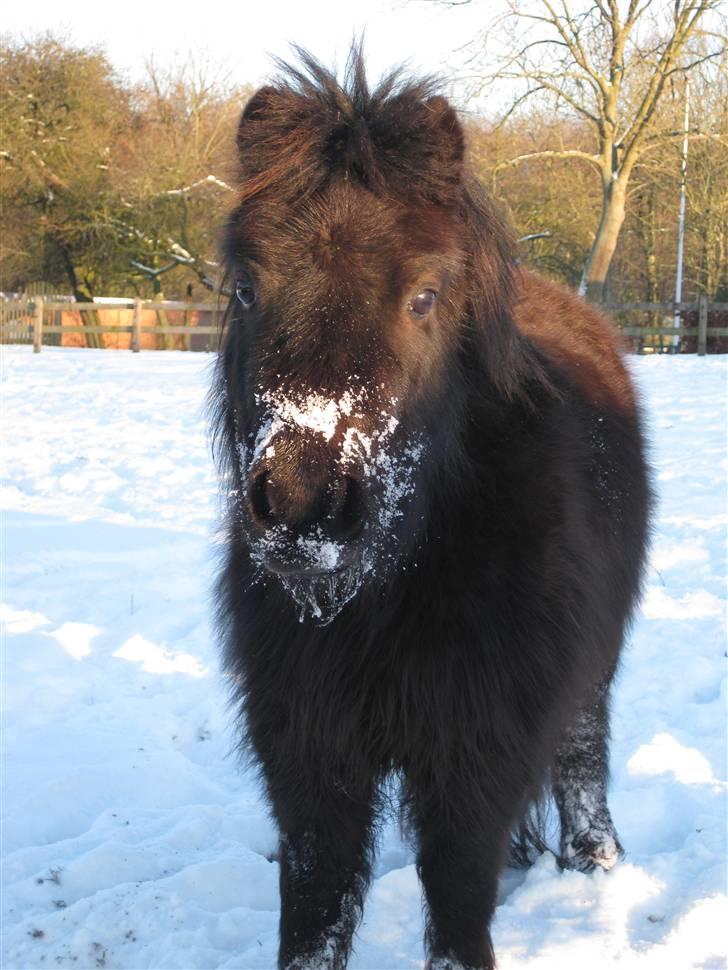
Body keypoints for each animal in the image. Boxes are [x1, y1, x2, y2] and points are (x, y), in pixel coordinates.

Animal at [209, 49, 648, 968]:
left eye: (424, 296)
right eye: (246, 288)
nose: (303, 506)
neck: (388, 591)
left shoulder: (473, 762)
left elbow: (455, 909)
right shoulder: (312, 766)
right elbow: (315, 915)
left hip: (589, 671)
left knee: (582, 753)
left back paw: (595, 862)